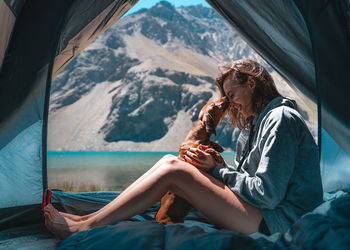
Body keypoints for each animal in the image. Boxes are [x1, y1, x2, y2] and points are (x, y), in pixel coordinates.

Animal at [156, 96, 230, 225]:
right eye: (214, 105)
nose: (226, 97)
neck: (198, 136)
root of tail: (157, 219)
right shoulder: (192, 148)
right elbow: (204, 147)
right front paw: (217, 155)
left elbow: (210, 144)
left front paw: (217, 146)